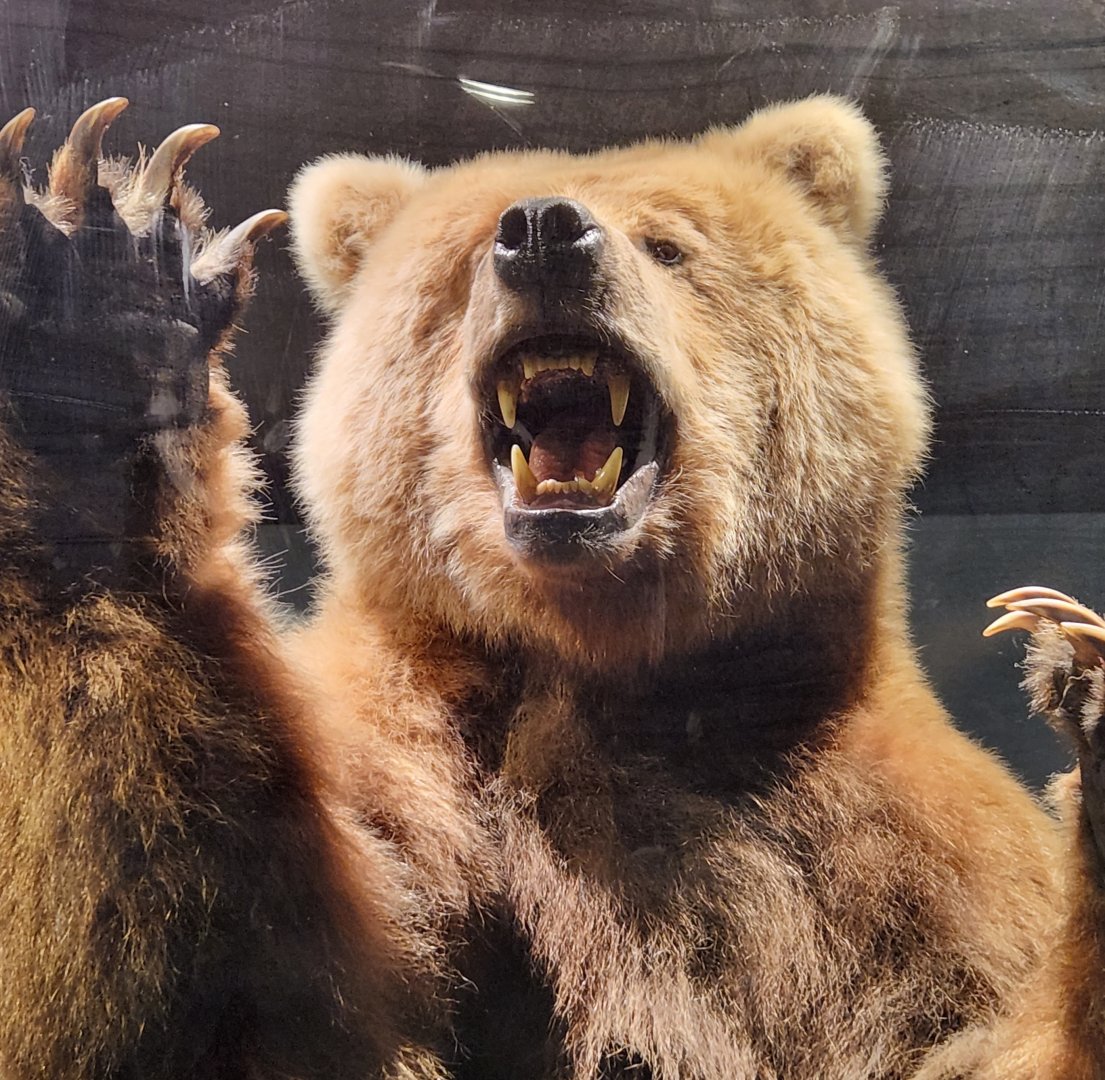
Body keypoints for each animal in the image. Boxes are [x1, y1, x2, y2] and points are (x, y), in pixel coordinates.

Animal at [285, 96, 1105, 1078]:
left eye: (667, 246)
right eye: (467, 254)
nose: (543, 231)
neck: (612, 658)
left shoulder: (904, 866)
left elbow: (979, 1027)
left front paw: (1085, 681)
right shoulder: (400, 767)